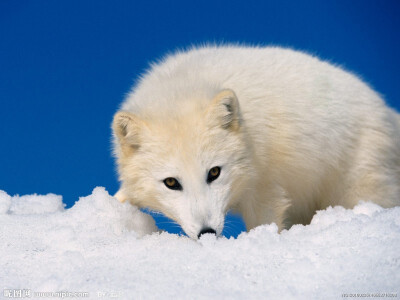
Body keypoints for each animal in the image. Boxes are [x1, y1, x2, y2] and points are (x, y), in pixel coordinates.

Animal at [111, 45, 400, 239]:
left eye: (214, 172)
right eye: (171, 182)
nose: (207, 232)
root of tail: (387, 111)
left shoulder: (265, 189)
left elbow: (265, 223)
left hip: (358, 190)